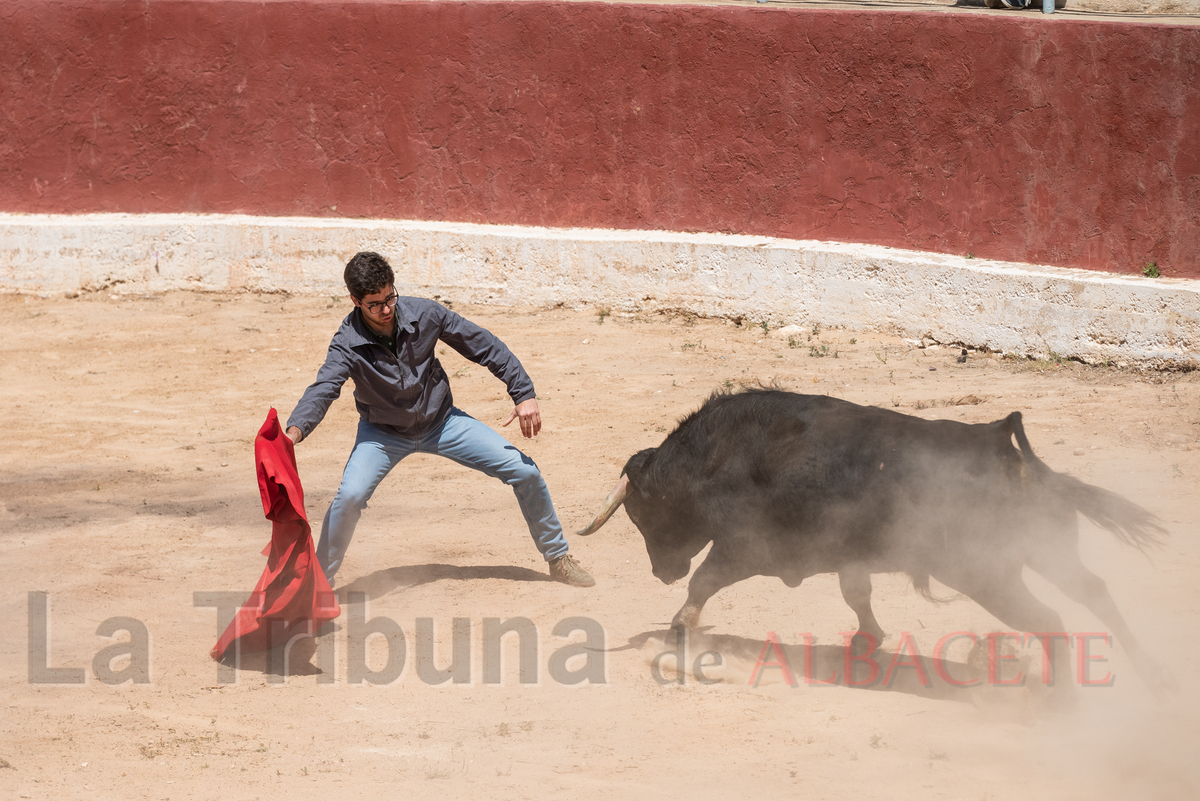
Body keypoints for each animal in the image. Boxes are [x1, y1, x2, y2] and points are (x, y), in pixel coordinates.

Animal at [576, 388, 1166, 690]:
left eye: (640, 515)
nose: (661, 571)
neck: (715, 457)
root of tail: (1002, 444)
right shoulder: (846, 555)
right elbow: (856, 593)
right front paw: (867, 639)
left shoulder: (745, 548)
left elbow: (703, 584)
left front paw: (678, 636)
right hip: (1046, 551)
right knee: (1094, 593)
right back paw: (1156, 679)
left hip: (990, 576)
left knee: (1050, 621)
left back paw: (1061, 704)